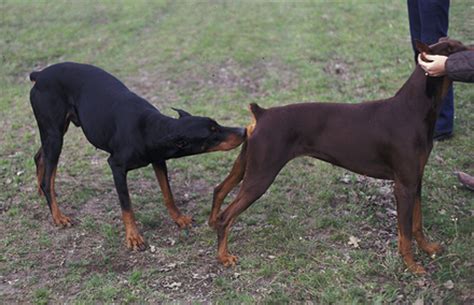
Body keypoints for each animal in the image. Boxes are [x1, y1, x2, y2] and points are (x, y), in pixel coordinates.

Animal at [30, 61, 246, 249]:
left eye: (216, 123)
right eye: (212, 132)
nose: (243, 130)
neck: (149, 129)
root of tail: (39, 75)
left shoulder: (158, 160)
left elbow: (168, 194)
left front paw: (179, 219)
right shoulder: (116, 166)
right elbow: (127, 206)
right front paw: (133, 237)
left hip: (54, 133)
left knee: (40, 157)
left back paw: (41, 192)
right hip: (55, 134)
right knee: (49, 176)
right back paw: (58, 216)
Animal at [208, 38, 470, 274]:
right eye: (454, 48)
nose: (471, 53)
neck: (413, 109)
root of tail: (261, 114)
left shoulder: (416, 179)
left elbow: (417, 223)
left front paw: (428, 248)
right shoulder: (403, 185)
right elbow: (405, 232)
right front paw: (412, 266)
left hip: (247, 164)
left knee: (219, 189)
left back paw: (211, 225)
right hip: (261, 174)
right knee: (227, 216)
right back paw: (223, 256)